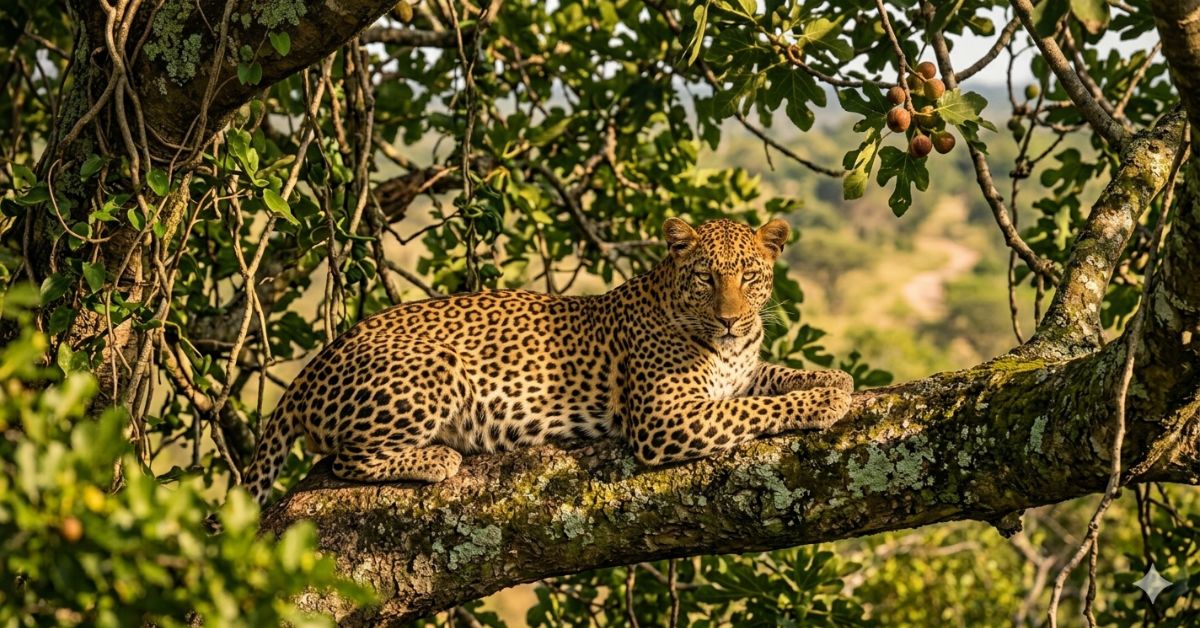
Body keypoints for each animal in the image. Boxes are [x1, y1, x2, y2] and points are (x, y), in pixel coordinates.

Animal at [242, 217, 854, 505]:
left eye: (749, 277)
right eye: (705, 277)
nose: (730, 320)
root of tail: (313, 367)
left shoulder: (739, 374)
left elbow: (773, 377)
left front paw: (834, 378)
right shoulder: (664, 416)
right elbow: (755, 411)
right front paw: (824, 400)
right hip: (434, 367)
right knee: (345, 459)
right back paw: (437, 457)